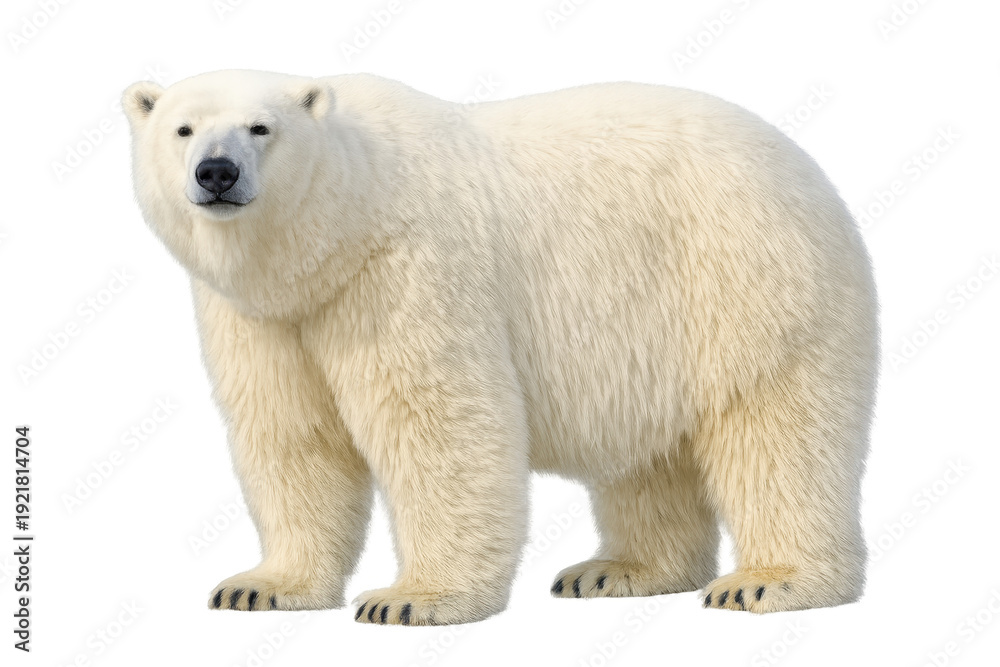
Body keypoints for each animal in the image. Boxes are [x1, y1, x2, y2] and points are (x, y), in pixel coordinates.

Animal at [123, 69, 878, 625]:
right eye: (182, 128)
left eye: (261, 127)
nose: (217, 172)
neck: (340, 229)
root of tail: (810, 168)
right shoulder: (266, 317)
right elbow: (292, 432)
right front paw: (260, 586)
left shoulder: (408, 268)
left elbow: (438, 421)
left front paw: (412, 599)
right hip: (652, 331)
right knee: (647, 453)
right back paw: (617, 569)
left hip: (746, 281)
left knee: (777, 432)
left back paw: (768, 582)